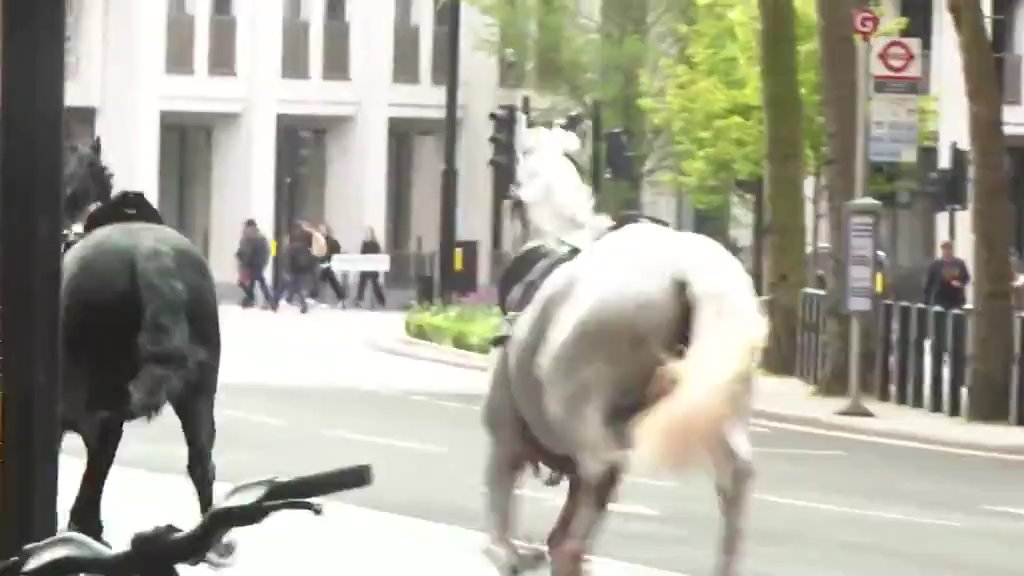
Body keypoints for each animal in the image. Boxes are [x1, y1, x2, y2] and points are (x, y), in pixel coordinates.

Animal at [483, 123, 765, 569]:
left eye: (512, 198)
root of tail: (686, 269)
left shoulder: (505, 438)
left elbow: (499, 531)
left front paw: (516, 554)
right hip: (722, 402)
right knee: (735, 479)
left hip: (580, 403)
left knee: (600, 470)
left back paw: (561, 549)